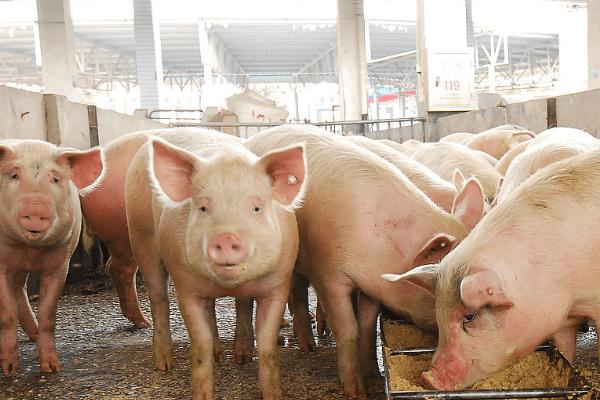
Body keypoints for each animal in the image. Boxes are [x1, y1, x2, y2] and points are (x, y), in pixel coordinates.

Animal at [0, 139, 103, 374]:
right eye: (13, 175)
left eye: (55, 178)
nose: (36, 210)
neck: (31, 249)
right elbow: (7, 313)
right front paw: (9, 370)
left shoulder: (60, 263)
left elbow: (48, 313)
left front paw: (52, 367)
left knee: (20, 289)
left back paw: (34, 334)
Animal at [125, 133, 304, 398]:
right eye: (203, 208)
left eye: (256, 207)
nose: (226, 237)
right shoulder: (186, 286)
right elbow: (201, 342)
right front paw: (203, 395)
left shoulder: (278, 282)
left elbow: (267, 342)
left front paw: (272, 394)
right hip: (140, 235)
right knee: (159, 299)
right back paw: (164, 364)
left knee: (232, 304)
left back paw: (235, 357)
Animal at [246, 124, 486, 396]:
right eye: (431, 288)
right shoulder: (328, 274)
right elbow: (348, 328)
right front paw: (356, 391)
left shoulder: (373, 285)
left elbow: (368, 327)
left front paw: (374, 375)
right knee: (296, 292)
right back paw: (307, 345)